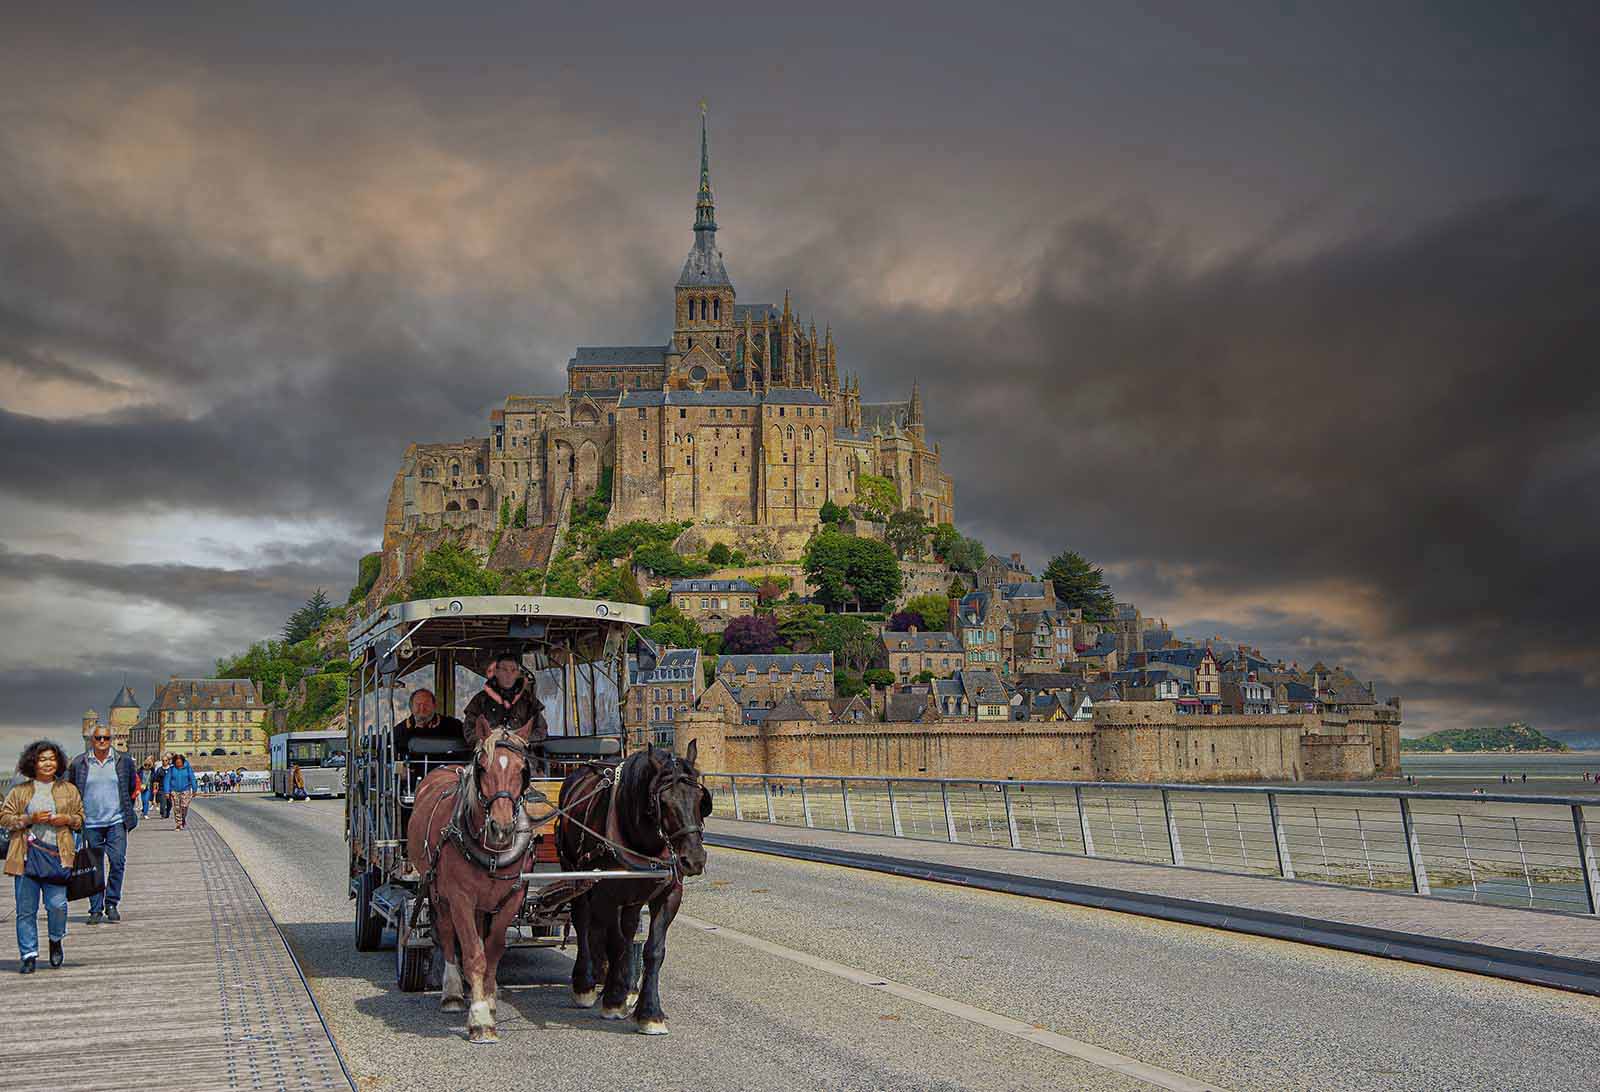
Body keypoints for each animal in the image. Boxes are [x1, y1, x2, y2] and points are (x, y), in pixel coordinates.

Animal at [403, 723, 534, 1037]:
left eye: (523, 769)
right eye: (483, 767)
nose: (501, 828)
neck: (493, 852)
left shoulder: (512, 897)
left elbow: (493, 949)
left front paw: (488, 999)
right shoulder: (460, 897)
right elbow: (474, 953)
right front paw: (480, 1019)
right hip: (436, 890)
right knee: (447, 934)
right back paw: (451, 994)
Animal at [563, 739, 713, 1031]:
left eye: (701, 799)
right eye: (662, 801)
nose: (694, 859)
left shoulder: (669, 894)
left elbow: (652, 950)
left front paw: (650, 1011)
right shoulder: (606, 893)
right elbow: (616, 944)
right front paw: (613, 1000)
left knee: (629, 927)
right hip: (574, 873)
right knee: (583, 921)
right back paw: (586, 983)